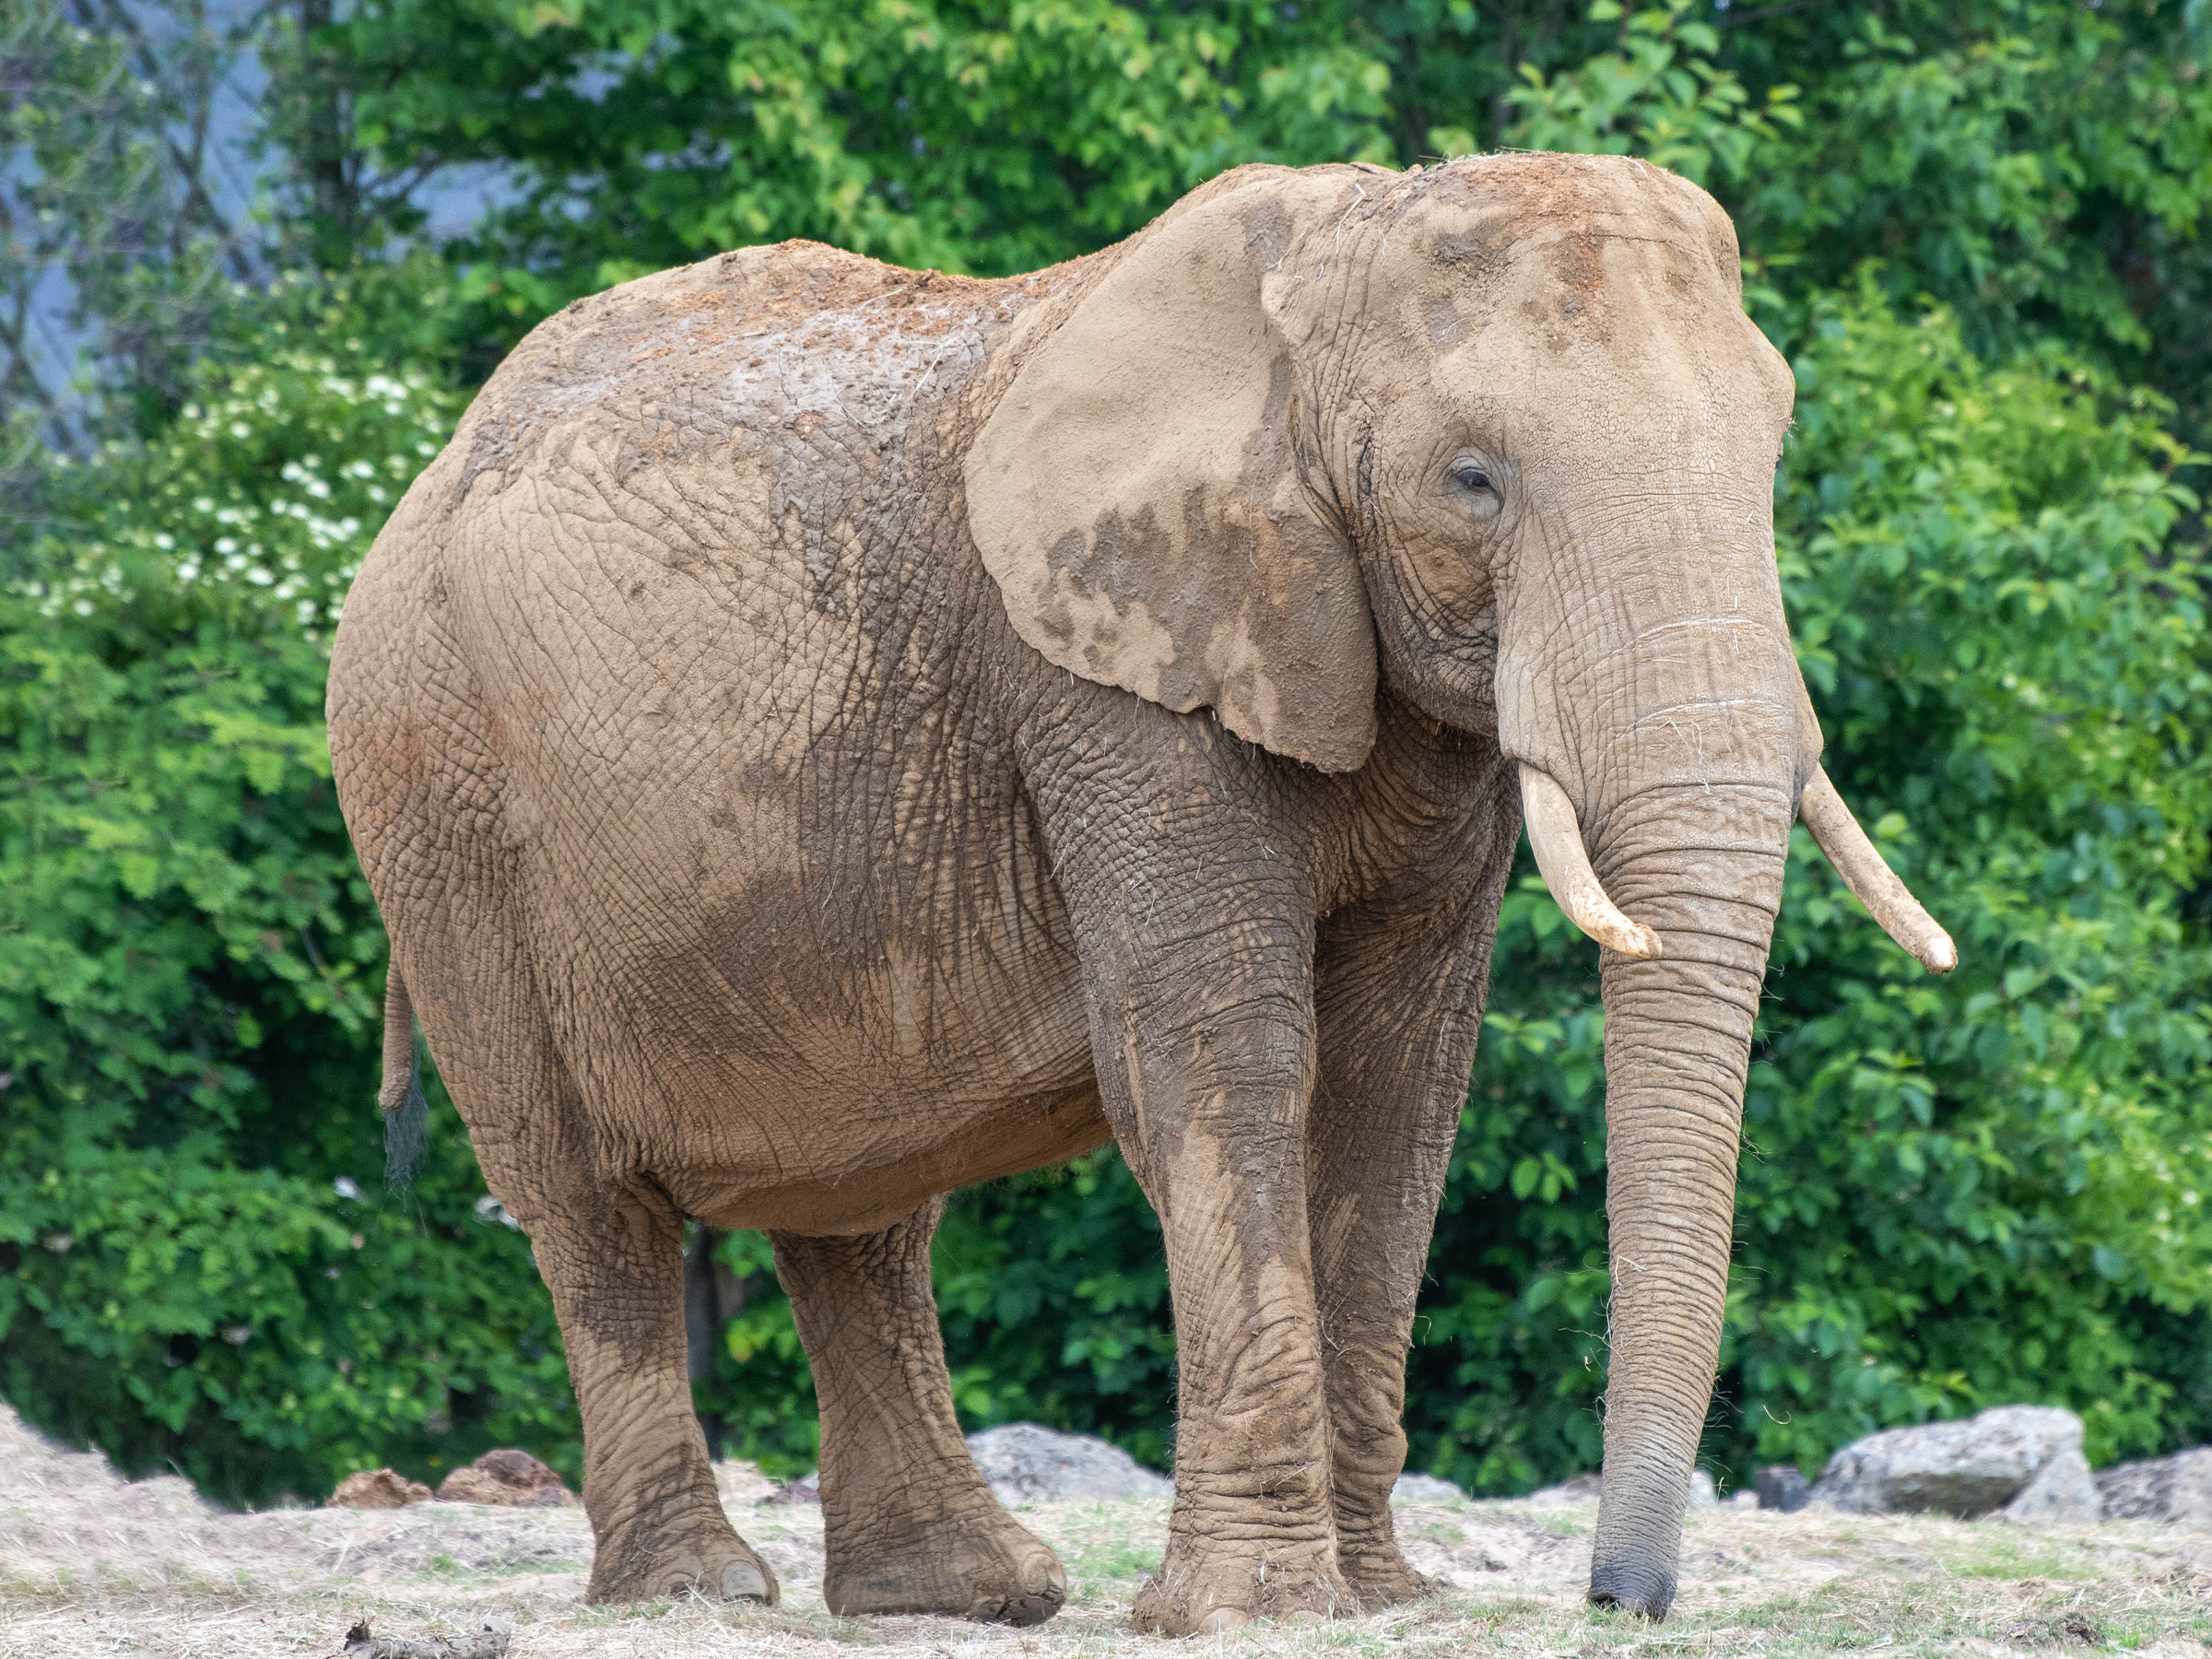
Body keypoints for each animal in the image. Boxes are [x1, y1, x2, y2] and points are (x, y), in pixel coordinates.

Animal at [326, 151, 1952, 1636]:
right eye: (1473, 481)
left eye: (1775, 453)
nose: (1622, 1600)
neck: (1322, 264)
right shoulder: (1106, 672)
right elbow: (1219, 1056)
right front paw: (1259, 1611)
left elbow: (1397, 1090)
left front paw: (1377, 1598)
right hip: (432, 798)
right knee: (586, 1200)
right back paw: (701, 1591)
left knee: (859, 1208)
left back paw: (970, 1594)